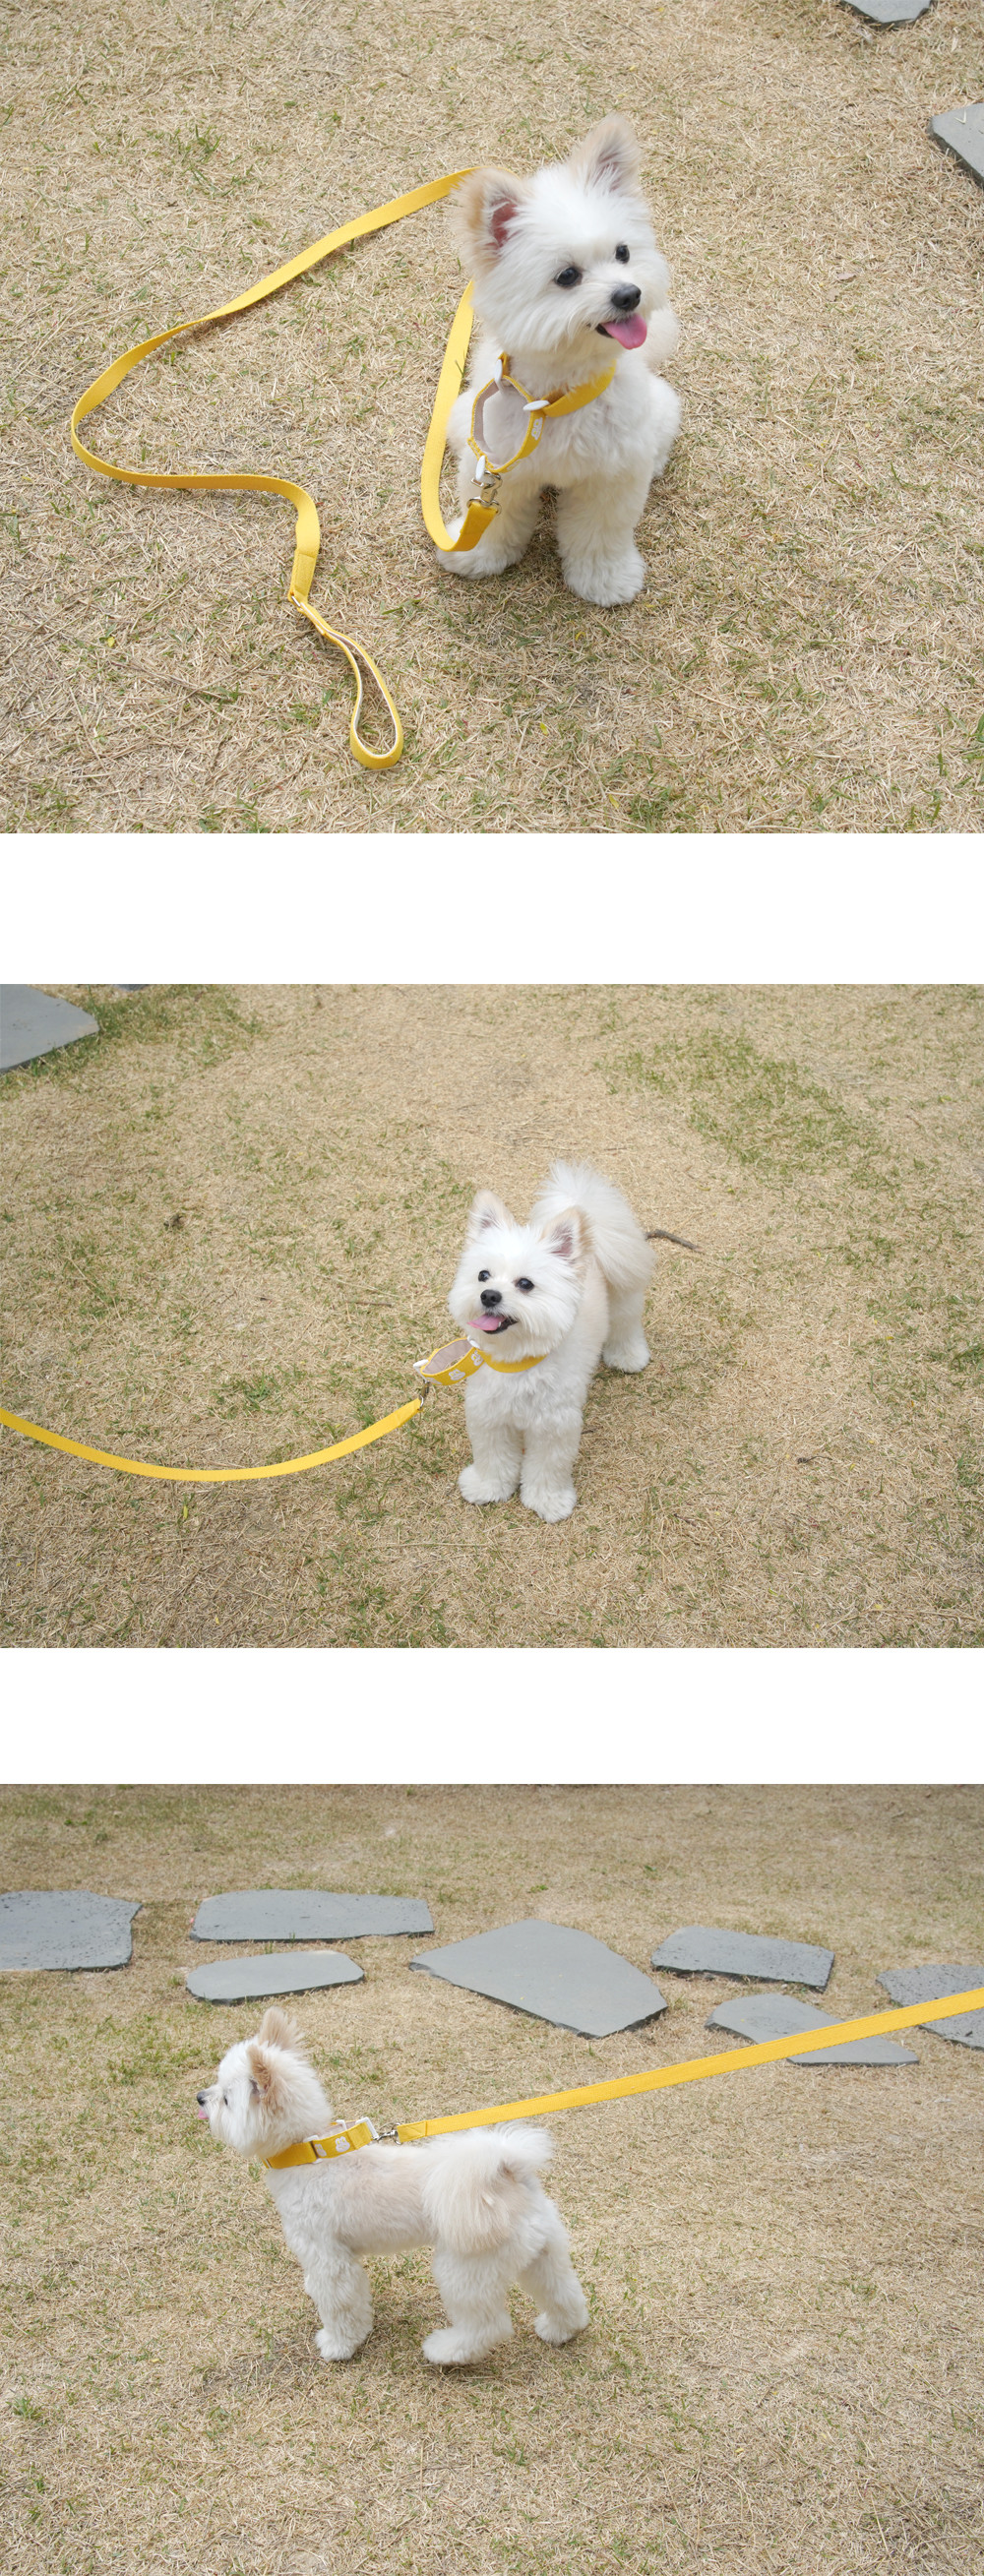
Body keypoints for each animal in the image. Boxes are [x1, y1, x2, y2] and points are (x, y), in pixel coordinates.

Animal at [196, 2008, 589, 2367]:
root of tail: (506, 2169)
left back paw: (445, 2352)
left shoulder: (328, 2257)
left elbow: (339, 2306)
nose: (200, 2097)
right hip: (541, 2251)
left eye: (226, 2099)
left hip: (465, 2267)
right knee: (564, 2292)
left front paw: (338, 2345)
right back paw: (560, 2330)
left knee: (488, 2326)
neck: (310, 2155)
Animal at [441, 115, 680, 605]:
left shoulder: (609, 479)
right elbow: (493, 520)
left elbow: (599, 536)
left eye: (623, 252)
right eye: (567, 276)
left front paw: (605, 580)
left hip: (663, 409)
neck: (556, 399)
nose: (630, 294)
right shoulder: (498, 469)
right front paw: (477, 556)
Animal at [447, 1160, 655, 1523]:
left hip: (623, 1300)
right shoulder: (489, 1418)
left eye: (525, 1284)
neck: (517, 1360)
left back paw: (629, 1356)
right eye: (483, 1275)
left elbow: (547, 1467)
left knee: (626, 1326)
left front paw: (548, 1501)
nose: (489, 1295)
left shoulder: (553, 1426)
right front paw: (488, 1487)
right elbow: (493, 1457)